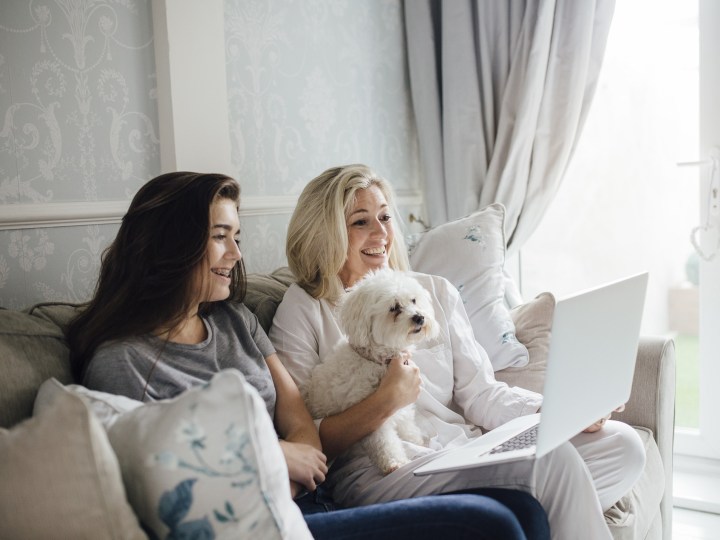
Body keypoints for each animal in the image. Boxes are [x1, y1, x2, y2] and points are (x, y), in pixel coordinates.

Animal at [304, 268, 438, 474]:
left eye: (414, 300)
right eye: (394, 308)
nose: (419, 317)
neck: (379, 361)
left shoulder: (401, 405)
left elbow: (407, 424)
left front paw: (415, 440)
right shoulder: (372, 415)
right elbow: (384, 442)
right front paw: (395, 462)